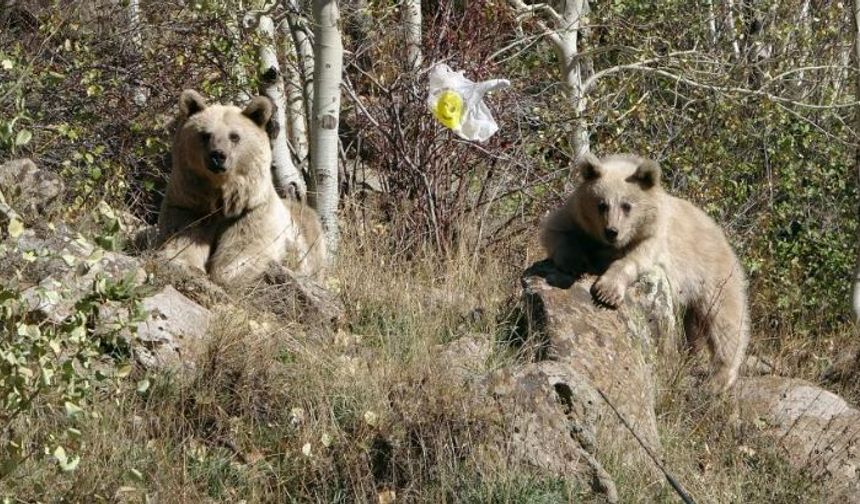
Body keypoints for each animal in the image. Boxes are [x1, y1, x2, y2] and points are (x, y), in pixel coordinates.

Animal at [155, 90, 326, 286]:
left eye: (234, 136)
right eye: (205, 135)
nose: (218, 155)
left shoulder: (252, 213)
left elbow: (244, 251)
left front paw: (225, 272)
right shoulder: (188, 206)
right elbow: (181, 239)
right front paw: (184, 264)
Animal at [540, 154, 748, 394]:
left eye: (626, 205)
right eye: (602, 204)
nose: (612, 231)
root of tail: (722, 235)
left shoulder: (654, 237)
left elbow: (634, 260)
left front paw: (606, 292)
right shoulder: (575, 216)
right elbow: (555, 231)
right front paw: (574, 262)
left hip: (714, 275)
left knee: (725, 321)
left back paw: (718, 379)